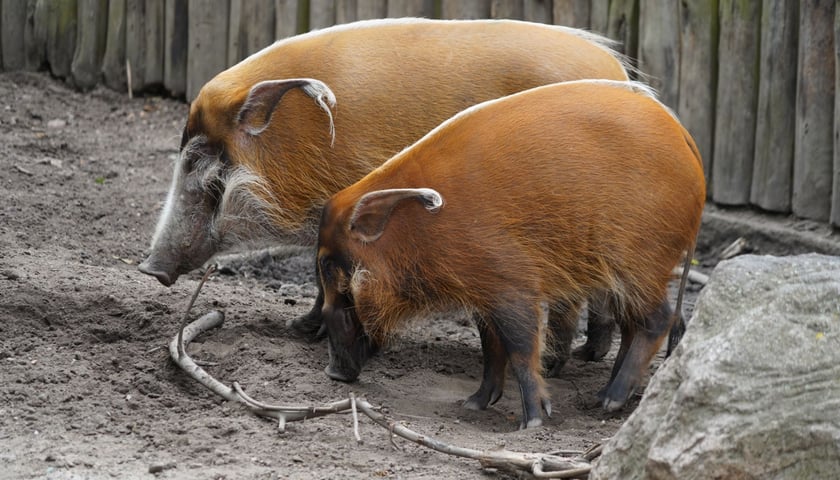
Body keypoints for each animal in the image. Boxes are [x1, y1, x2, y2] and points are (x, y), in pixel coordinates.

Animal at [318, 79, 704, 428]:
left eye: (330, 265)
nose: (333, 373)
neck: (417, 229)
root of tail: (685, 138)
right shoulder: (484, 292)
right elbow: (491, 347)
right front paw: (473, 404)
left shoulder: (511, 285)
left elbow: (519, 347)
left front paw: (531, 422)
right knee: (634, 325)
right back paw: (602, 399)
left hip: (640, 263)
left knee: (660, 319)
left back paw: (611, 400)